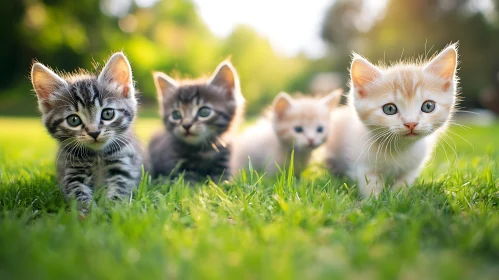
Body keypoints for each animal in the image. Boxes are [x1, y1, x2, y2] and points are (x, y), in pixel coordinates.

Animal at [30, 52, 143, 210]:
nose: (94, 133)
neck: (97, 155)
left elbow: (119, 192)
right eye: (73, 120)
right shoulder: (72, 172)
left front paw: (111, 208)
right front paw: (89, 212)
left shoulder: (124, 166)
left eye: (108, 114)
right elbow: (78, 194)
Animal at [326, 44, 458, 197]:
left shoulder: (412, 168)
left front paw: (398, 196)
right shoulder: (363, 164)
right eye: (389, 109)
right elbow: (370, 183)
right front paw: (374, 199)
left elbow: (404, 183)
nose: (411, 123)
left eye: (428, 106)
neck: (398, 148)